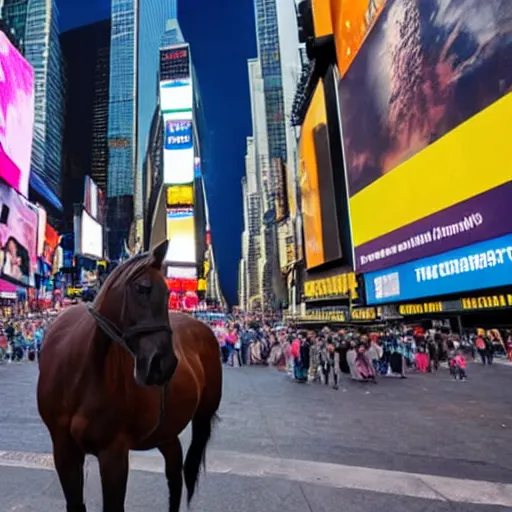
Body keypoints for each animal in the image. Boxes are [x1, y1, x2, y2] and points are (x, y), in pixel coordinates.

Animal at [36, 242, 220, 512]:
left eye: (168, 293)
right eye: (142, 288)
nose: (163, 364)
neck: (82, 373)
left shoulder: (114, 453)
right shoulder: (63, 450)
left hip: (201, 416)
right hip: (165, 432)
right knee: (174, 475)